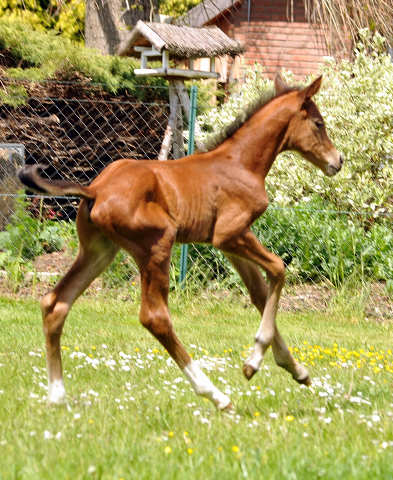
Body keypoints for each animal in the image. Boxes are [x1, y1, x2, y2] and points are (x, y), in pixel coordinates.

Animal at [19, 74, 342, 408]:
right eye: (318, 123)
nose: (338, 161)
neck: (240, 163)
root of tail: (94, 189)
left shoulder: (232, 242)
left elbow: (259, 293)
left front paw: (296, 370)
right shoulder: (229, 234)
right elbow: (278, 269)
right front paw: (254, 362)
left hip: (99, 251)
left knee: (55, 303)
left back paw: (57, 395)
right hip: (158, 242)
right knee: (155, 317)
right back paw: (215, 394)